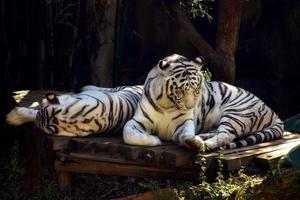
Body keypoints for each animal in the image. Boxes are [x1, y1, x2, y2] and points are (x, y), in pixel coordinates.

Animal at [122, 54, 284, 152]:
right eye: (180, 91)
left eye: (196, 90)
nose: (190, 107)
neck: (167, 104)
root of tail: (274, 114)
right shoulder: (138, 120)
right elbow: (127, 132)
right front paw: (155, 140)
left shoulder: (184, 122)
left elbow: (186, 134)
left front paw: (194, 143)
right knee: (223, 133)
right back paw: (204, 137)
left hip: (237, 113)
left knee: (225, 135)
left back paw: (207, 143)